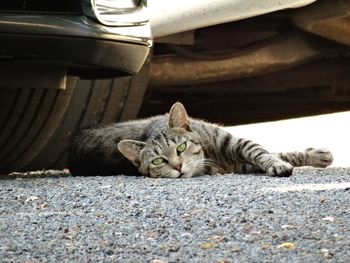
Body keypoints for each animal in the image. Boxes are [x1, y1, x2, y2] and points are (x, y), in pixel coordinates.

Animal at [68, 102, 334, 178]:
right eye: (158, 161)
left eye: (181, 147)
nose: (177, 167)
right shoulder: (240, 164)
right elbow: (269, 154)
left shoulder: (237, 144)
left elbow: (266, 152)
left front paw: (313, 155)